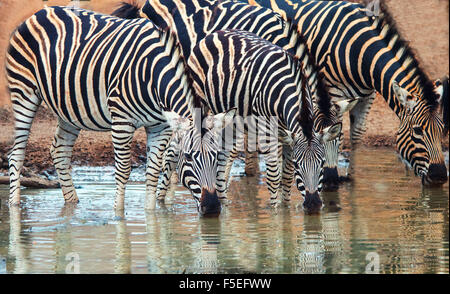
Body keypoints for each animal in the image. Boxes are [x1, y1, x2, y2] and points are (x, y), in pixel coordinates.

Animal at [5, 5, 219, 214]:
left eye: (217, 155)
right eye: (188, 156)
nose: (212, 208)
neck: (153, 76)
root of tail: (41, 11)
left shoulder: (160, 127)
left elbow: (152, 171)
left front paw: (152, 216)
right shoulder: (122, 121)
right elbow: (123, 171)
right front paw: (118, 215)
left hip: (68, 108)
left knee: (59, 152)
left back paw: (72, 204)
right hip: (23, 91)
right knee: (17, 154)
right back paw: (14, 206)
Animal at [158, 29, 342, 212]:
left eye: (322, 163)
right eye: (298, 165)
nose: (313, 205)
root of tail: (216, 33)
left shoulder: (289, 136)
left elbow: (287, 177)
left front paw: (286, 211)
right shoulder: (268, 132)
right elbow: (274, 177)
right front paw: (275, 212)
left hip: (231, 122)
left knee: (222, 159)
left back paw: (223, 204)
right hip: (201, 105)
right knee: (175, 147)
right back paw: (162, 202)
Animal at [243, 0, 450, 186]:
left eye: (442, 129)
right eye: (417, 131)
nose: (439, 177)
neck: (360, 52)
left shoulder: (367, 95)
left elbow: (356, 134)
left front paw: (351, 178)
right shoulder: (330, 92)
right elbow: (335, 132)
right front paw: (330, 176)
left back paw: (251, 172)